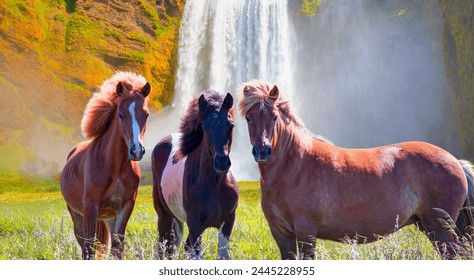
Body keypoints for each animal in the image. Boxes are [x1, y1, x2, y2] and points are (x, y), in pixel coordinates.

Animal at [60, 72, 151, 260]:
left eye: (146, 114)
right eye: (121, 115)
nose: (137, 151)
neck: (114, 167)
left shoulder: (124, 208)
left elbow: (118, 249)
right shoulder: (90, 208)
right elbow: (89, 249)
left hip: (109, 217)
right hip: (77, 215)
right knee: (84, 246)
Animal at [153, 91, 241, 260]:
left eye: (231, 125)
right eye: (205, 127)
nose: (222, 163)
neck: (215, 185)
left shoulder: (228, 221)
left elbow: (223, 255)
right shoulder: (194, 223)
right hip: (164, 216)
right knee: (164, 248)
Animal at [239, 80, 474, 260]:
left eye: (274, 117)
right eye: (249, 118)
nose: (262, 151)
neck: (296, 166)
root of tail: (455, 161)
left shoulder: (306, 233)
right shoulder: (282, 234)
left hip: (440, 229)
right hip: (430, 227)